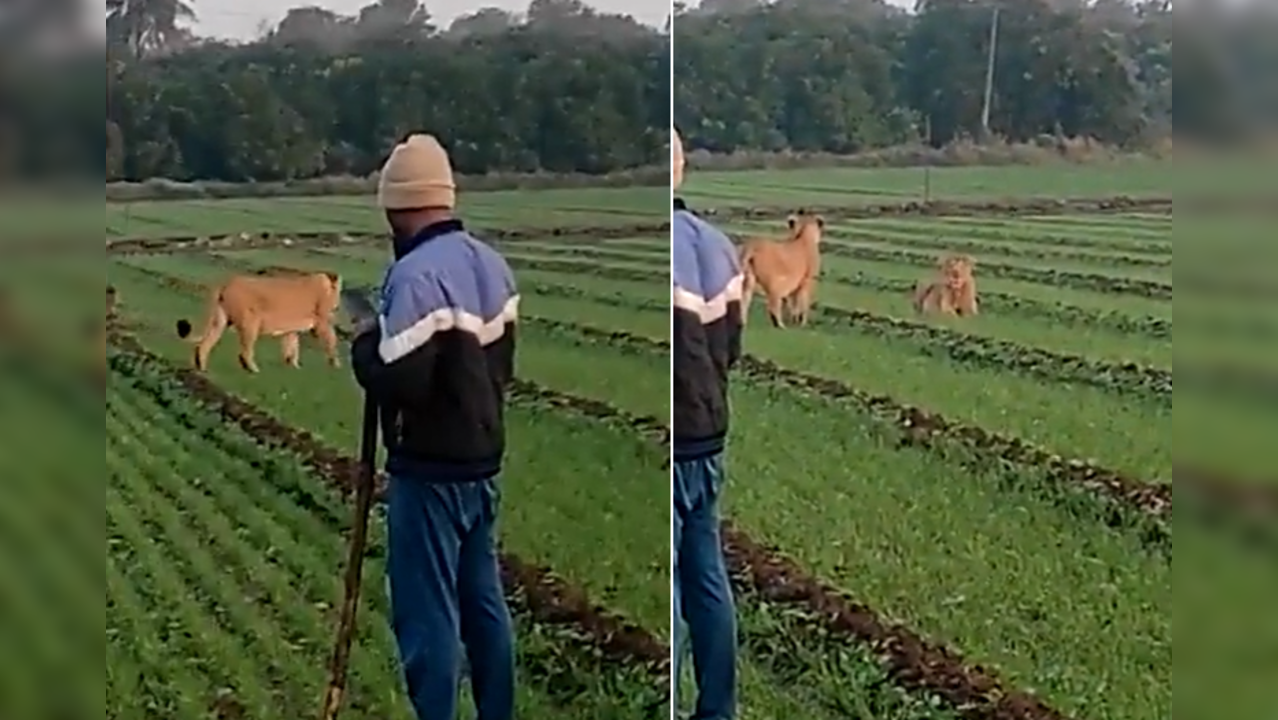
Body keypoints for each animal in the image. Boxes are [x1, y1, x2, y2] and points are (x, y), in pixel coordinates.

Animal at [177, 272, 345, 378]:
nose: (338, 306)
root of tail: (227, 283)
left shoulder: (291, 330)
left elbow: (292, 347)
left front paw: (294, 367)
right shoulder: (323, 322)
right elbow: (332, 341)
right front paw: (337, 366)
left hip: (220, 321)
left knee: (203, 345)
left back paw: (202, 370)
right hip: (251, 323)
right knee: (245, 352)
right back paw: (253, 370)